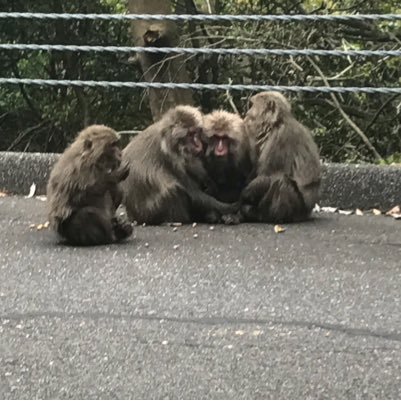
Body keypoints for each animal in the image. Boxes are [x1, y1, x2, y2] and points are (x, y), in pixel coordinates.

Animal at [239, 90, 320, 222]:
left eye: (252, 105)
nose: (246, 114)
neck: (274, 125)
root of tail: (307, 213)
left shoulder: (280, 139)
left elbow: (267, 175)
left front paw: (244, 194)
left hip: (298, 209)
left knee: (281, 181)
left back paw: (267, 215)